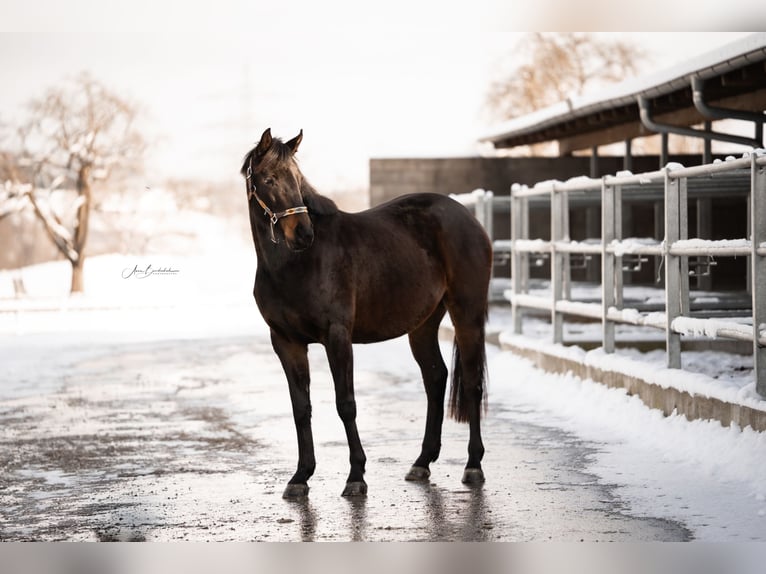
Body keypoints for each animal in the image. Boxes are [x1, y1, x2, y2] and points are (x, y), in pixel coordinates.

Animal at [241, 128, 492, 498]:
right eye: (269, 179)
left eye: (298, 180)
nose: (303, 233)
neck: (296, 264)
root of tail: (468, 217)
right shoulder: (286, 342)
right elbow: (301, 408)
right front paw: (300, 476)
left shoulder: (337, 336)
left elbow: (346, 404)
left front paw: (356, 476)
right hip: (423, 325)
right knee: (435, 378)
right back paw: (422, 462)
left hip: (467, 313)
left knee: (472, 382)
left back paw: (473, 465)